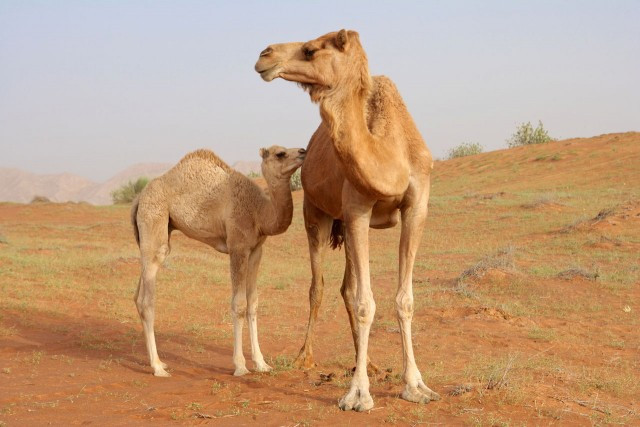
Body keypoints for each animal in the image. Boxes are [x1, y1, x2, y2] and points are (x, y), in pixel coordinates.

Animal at [130, 146, 304, 378]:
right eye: (280, 154)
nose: (303, 151)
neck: (260, 211)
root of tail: (139, 198)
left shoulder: (256, 250)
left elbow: (253, 303)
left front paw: (262, 363)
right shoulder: (237, 246)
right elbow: (239, 304)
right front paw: (240, 366)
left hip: (155, 232)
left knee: (138, 294)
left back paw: (159, 363)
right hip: (153, 220)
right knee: (147, 297)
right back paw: (158, 367)